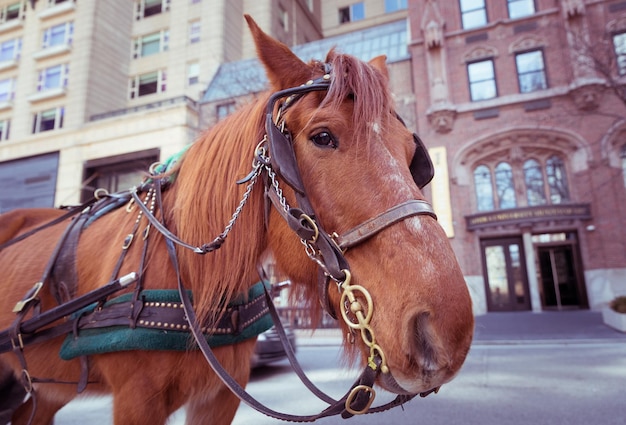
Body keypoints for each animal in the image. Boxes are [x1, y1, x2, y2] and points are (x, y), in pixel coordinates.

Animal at [0, 15, 468, 424]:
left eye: (413, 153)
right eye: (322, 137)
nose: (444, 331)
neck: (194, 275)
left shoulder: (218, 399)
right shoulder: (136, 400)